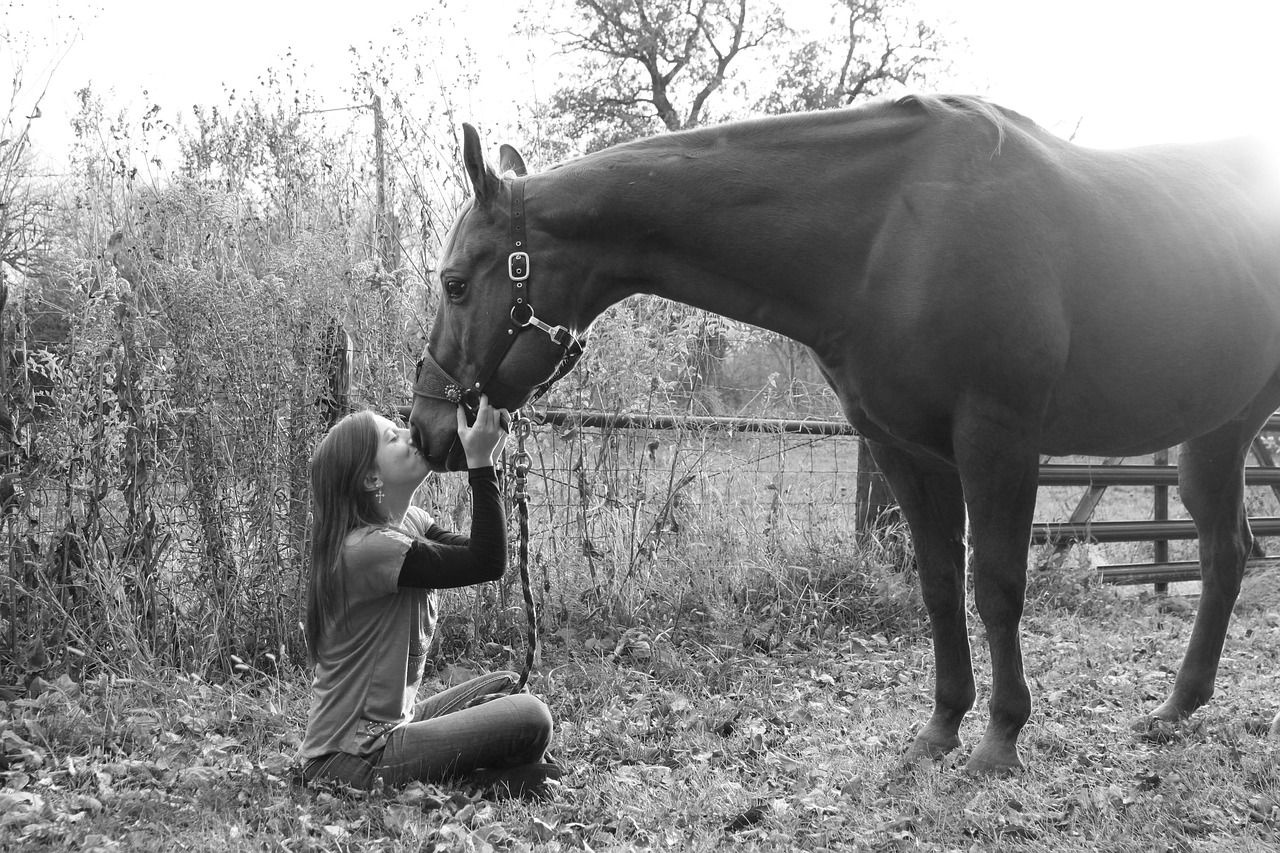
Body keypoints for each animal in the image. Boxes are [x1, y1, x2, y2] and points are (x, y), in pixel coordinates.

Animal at [407, 92, 1280, 768]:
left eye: (456, 283)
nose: (426, 427)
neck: (892, 233)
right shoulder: (904, 448)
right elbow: (938, 583)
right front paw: (942, 726)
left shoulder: (997, 440)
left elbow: (997, 583)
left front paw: (1001, 736)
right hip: (1218, 433)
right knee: (1227, 551)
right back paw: (1177, 706)